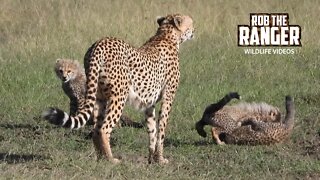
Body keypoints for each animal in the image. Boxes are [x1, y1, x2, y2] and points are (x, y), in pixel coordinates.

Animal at [42, 13, 194, 164]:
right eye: (191, 23)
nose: (194, 30)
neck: (167, 36)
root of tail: (99, 43)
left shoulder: (149, 103)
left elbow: (152, 130)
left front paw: (151, 158)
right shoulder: (168, 98)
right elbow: (161, 130)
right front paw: (160, 159)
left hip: (99, 97)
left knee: (96, 129)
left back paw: (101, 158)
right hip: (119, 96)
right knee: (104, 129)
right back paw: (111, 160)